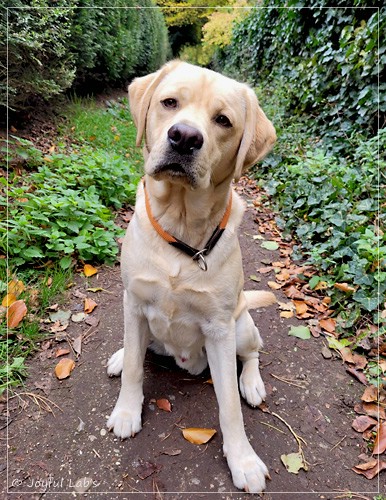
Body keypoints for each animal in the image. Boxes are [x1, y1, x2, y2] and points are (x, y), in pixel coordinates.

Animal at [108, 61, 276, 492]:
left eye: (223, 121)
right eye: (169, 103)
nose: (184, 137)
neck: (181, 232)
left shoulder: (219, 328)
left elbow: (229, 407)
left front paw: (243, 460)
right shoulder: (134, 301)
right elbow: (134, 368)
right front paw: (127, 411)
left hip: (241, 325)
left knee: (253, 352)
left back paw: (252, 382)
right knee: (136, 349)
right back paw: (119, 355)